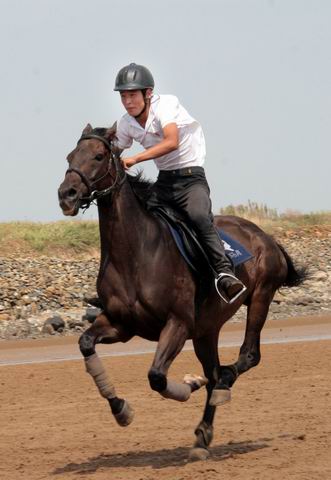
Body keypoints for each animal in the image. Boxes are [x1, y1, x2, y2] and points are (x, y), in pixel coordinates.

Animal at [58, 124, 308, 462]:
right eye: (70, 156)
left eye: (98, 156)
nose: (66, 195)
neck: (136, 252)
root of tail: (266, 237)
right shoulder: (121, 325)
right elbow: (86, 343)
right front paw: (121, 409)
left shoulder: (177, 323)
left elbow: (157, 376)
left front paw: (188, 384)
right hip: (206, 330)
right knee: (214, 372)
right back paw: (202, 435)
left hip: (260, 297)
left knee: (244, 358)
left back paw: (218, 386)